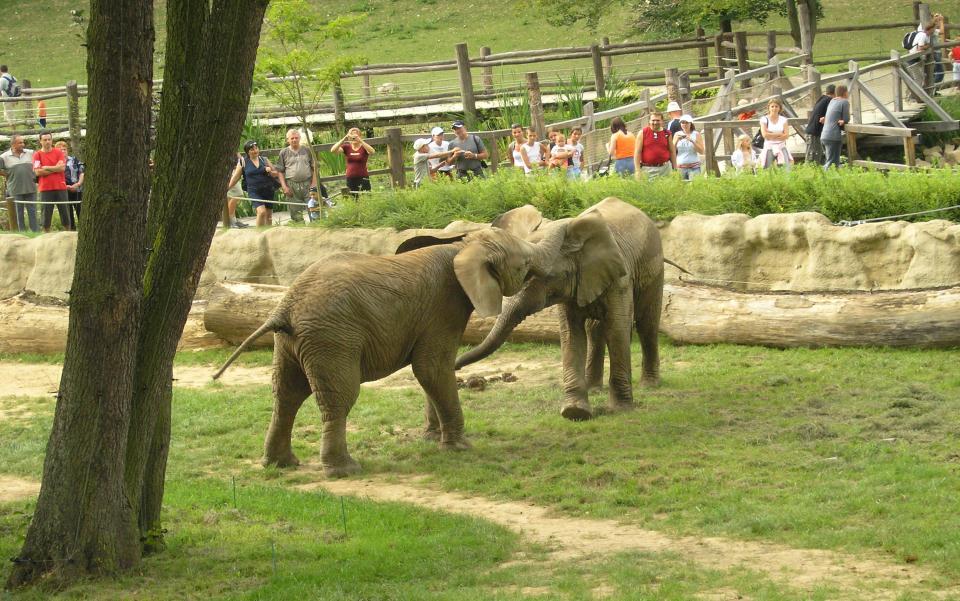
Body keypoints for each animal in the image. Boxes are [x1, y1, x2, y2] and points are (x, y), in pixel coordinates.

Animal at [213, 227, 540, 476]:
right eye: (524, 265)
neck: (463, 246)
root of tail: (284, 309)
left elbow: (430, 372)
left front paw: (433, 439)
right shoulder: (444, 307)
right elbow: (432, 368)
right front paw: (460, 448)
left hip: (291, 344)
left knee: (286, 396)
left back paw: (281, 465)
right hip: (332, 339)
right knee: (338, 399)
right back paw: (344, 471)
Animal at [454, 198, 664, 422]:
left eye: (548, 277)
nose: (457, 367)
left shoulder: (620, 278)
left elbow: (617, 329)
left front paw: (621, 409)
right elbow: (571, 333)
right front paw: (574, 412)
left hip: (654, 267)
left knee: (647, 323)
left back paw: (649, 385)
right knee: (594, 330)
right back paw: (594, 388)